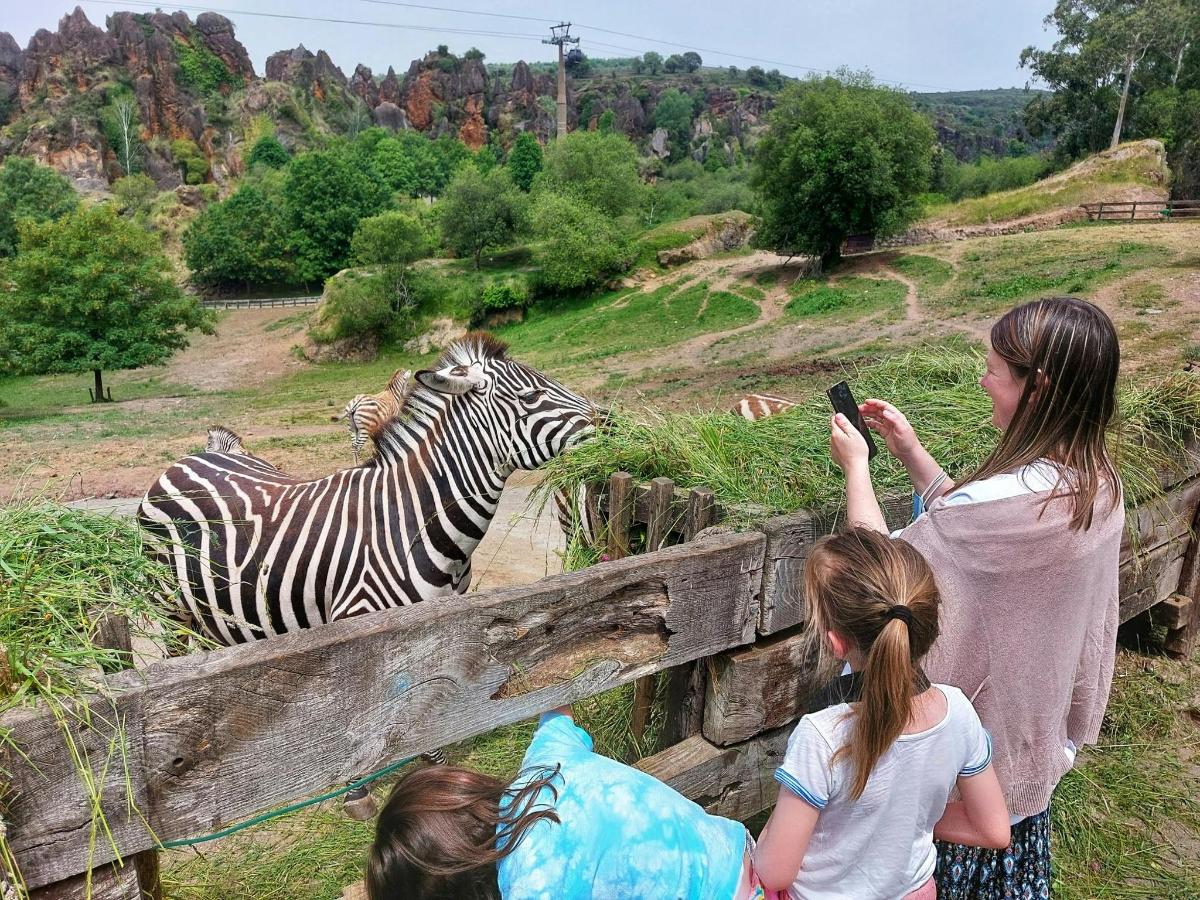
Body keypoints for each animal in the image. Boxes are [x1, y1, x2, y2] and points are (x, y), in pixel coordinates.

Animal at [137, 336, 600, 643]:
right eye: (532, 395)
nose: (610, 423)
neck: (417, 519)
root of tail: (194, 455)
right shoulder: (361, 628)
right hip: (171, 613)